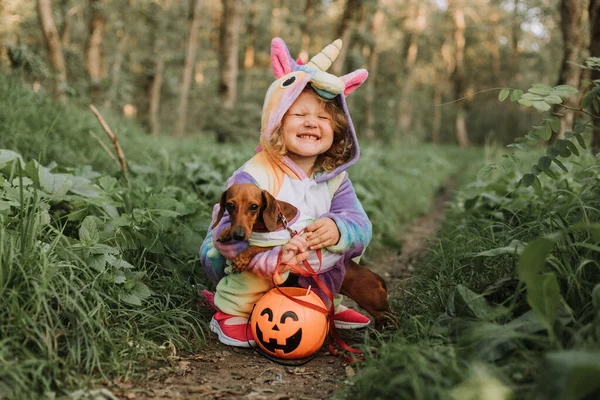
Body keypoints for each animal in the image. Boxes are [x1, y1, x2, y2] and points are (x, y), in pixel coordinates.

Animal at [213, 184, 392, 328]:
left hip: (375, 304)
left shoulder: (279, 244)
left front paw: (240, 259)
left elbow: (255, 247)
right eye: (230, 205)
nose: (238, 235)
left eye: (254, 206)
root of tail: (377, 278)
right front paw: (225, 232)